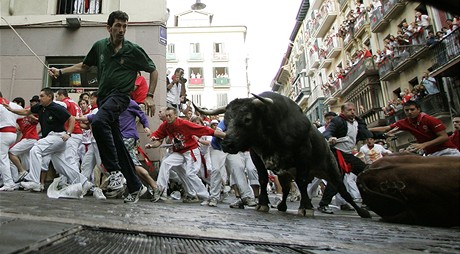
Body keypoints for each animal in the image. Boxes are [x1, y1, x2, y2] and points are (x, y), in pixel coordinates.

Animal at [193, 92, 370, 218]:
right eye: (227, 119)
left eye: (247, 118)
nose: (227, 143)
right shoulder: (257, 156)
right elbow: (263, 179)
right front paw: (263, 204)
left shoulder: (303, 153)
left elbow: (302, 182)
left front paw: (306, 208)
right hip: (285, 173)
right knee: (285, 189)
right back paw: (282, 206)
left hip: (331, 168)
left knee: (342, 189)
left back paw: (362, 211)